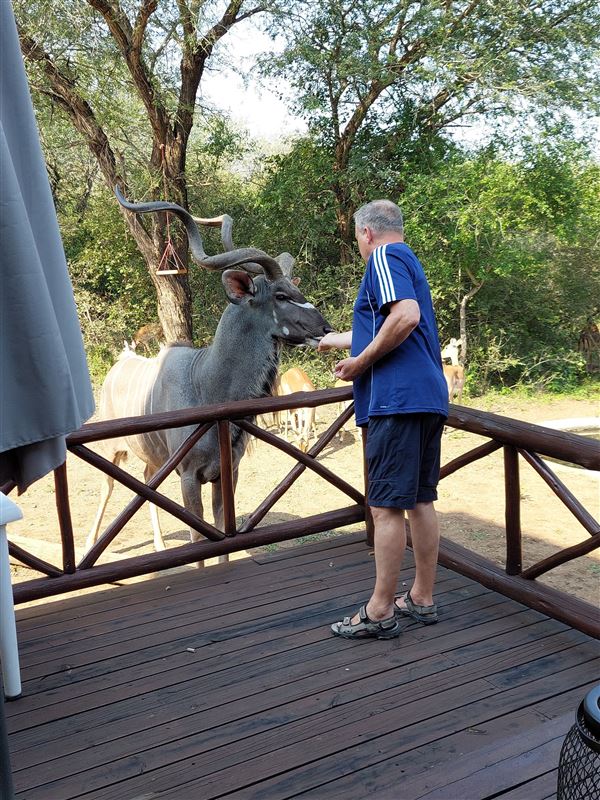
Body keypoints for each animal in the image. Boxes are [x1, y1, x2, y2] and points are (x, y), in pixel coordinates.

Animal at [86, 187, 332, 557]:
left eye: (296, 290)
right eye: (281, 295)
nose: (325, 328)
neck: (207, 384)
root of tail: (121, 361)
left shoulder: (226, 473)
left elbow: (220, 534)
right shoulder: (189, 476)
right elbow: (199, 540)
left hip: (154, 461)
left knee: (144, 480)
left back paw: (159, 543)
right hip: (112, 452)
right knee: (107, 486)